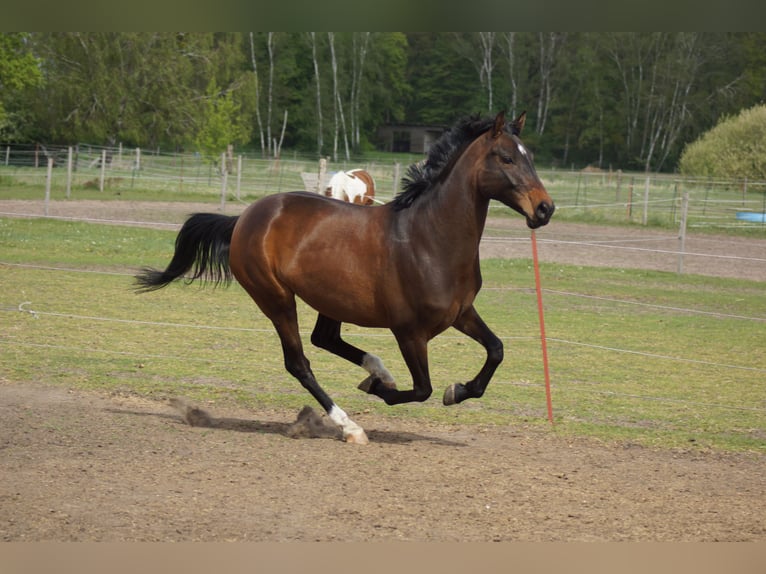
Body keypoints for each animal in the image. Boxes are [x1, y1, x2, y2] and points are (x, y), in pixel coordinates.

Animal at [135, 111, 554, 444]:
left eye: (531, 157)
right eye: (506, 158)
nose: (545, 209)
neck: (430, 238)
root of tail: (244, 219)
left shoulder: (461, 313)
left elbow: (496, 350)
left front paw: (457, 390)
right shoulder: (409, 331)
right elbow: (422, 388)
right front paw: (383, 390)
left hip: (330, 299)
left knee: (325, 339)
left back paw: (378, 371)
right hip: (276, 299)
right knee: (300, 362)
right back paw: (351, 425)